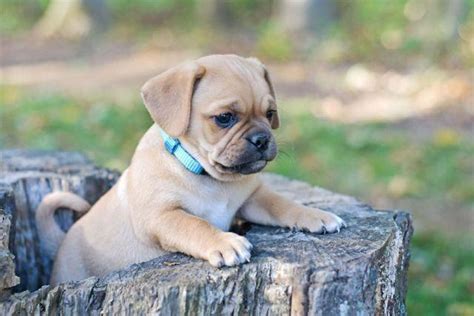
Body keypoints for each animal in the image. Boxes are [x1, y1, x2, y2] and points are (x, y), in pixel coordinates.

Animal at [34, 53, 344, 284]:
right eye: (224, 118)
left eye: (270, 114)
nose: (262, 138)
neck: (211, 178)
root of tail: (62, 243)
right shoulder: (162, 216)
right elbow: (195, 224)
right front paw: (225, 242)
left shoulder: (252, 197)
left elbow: (281, 203)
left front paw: (316, 215)